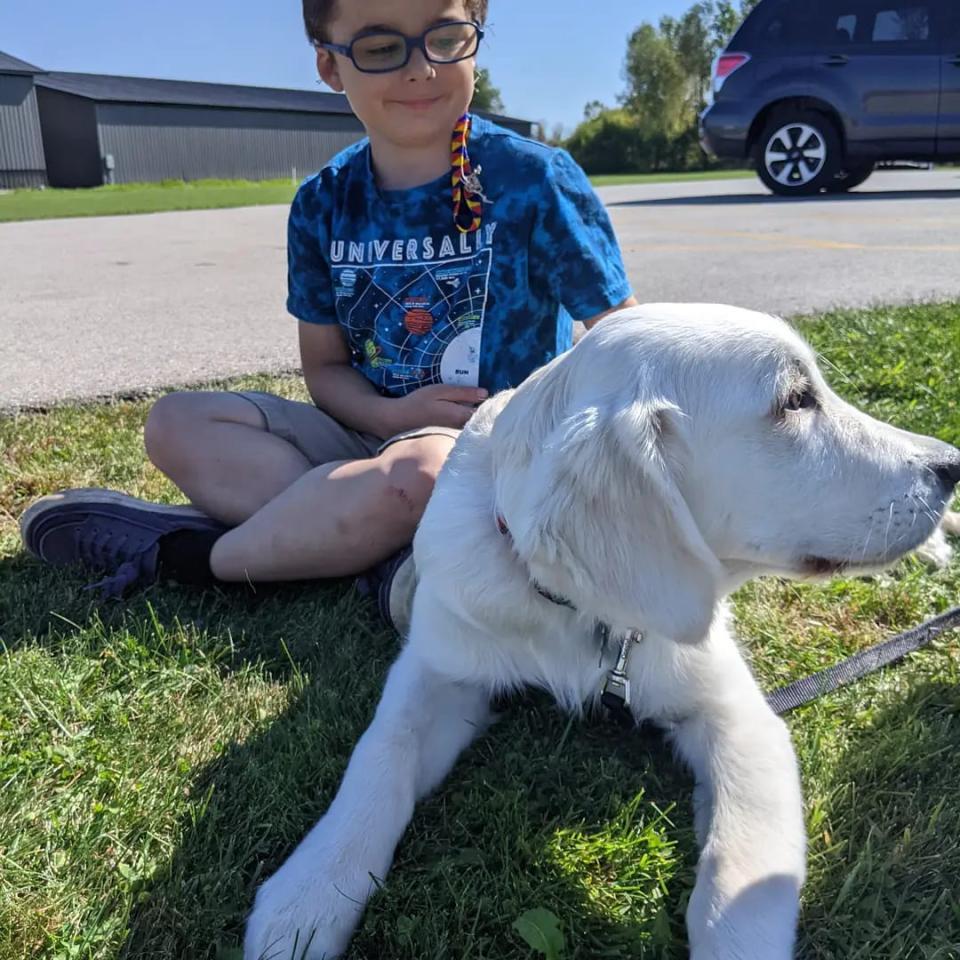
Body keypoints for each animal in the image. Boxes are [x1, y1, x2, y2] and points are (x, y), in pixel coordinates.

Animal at [246, 304, 960, 960]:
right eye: (794, 401)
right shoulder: (437, 670)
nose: (950, 464)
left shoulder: (738, 716)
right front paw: (308, 893)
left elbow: (740, 876)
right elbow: (378, 760)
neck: (586, 615)